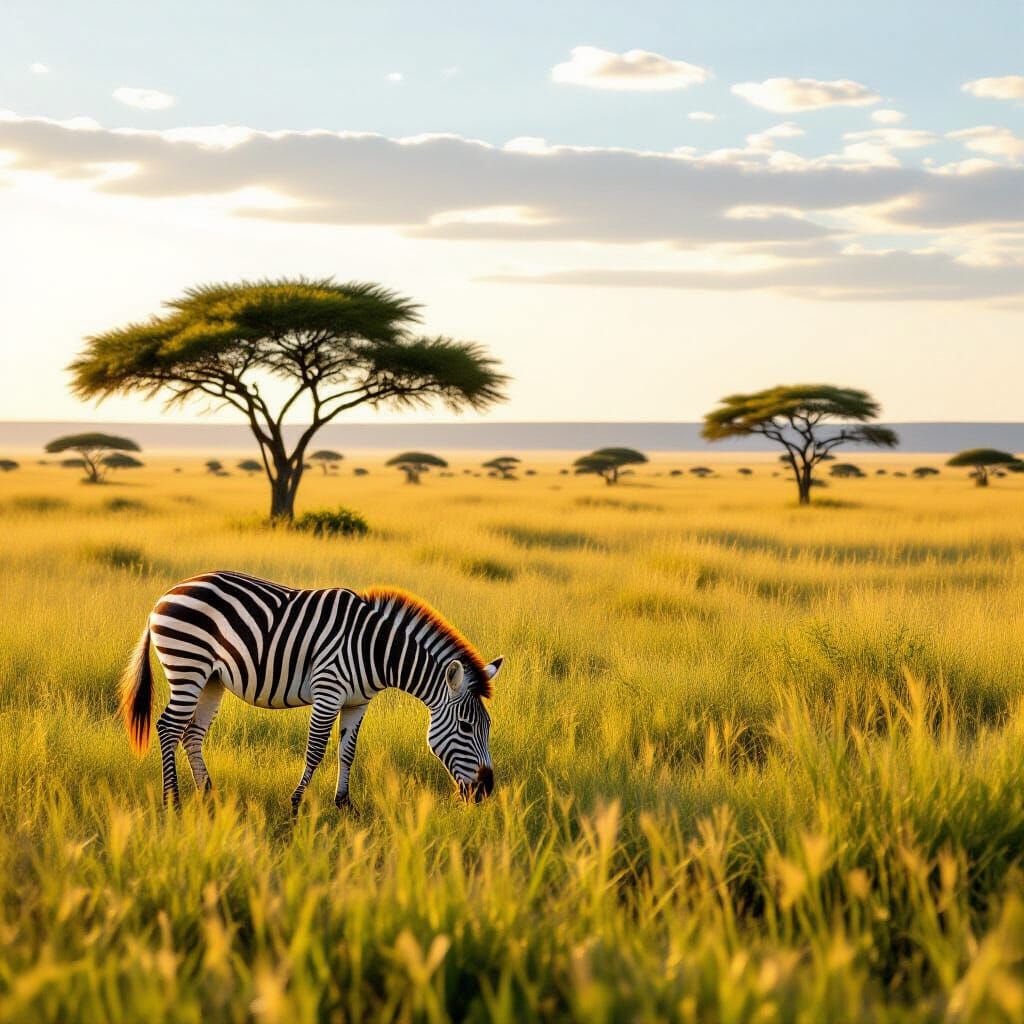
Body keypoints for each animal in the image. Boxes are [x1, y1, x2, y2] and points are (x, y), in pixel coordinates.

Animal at [118, 570, 503, 809]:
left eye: (487, 728)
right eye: (466, 727)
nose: (485, 791)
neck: (375, 649)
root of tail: (167, 594)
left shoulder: (357, 703)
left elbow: (347, 752)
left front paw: (345, 805)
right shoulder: (328, 691)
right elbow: (315, 750)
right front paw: (296, 803)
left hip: (211, 678)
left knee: (192, 733)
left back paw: (208, 795)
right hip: (188, 665)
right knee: (169, 727)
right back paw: (172, 801)